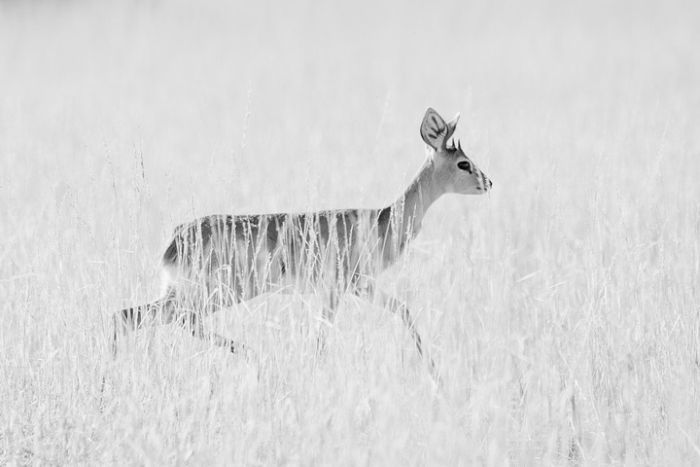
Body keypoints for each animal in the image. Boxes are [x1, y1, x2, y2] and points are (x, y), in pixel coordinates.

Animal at [115, 108, 492, 374]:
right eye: (463, 163)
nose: (488, 182)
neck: (382, 220)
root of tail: (176, 238)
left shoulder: (359, 285)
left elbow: (404, 310)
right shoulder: (339, 286)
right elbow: (323, 335)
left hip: (188, 293)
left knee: (131, 316)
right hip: (215, 292)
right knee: (166, 319)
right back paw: (256, 355)